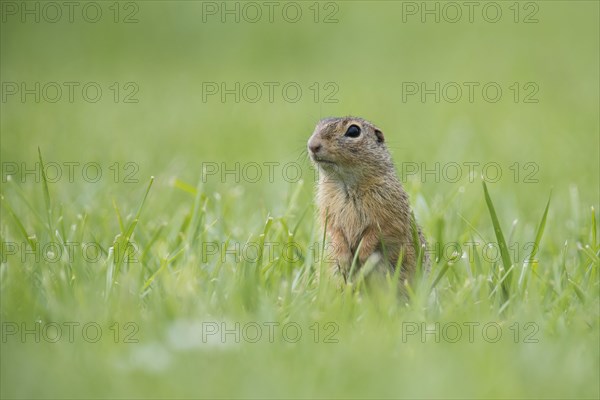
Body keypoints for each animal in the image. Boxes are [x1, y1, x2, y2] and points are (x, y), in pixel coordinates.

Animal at [308, 117, 428, 282]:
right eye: (317, 126)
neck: (347, 185)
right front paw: (344, 260)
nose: (312, 145)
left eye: (353, 131)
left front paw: (362, 256)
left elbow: (379, 231)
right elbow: (333, 231)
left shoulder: (390, 212)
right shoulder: (326, 209)